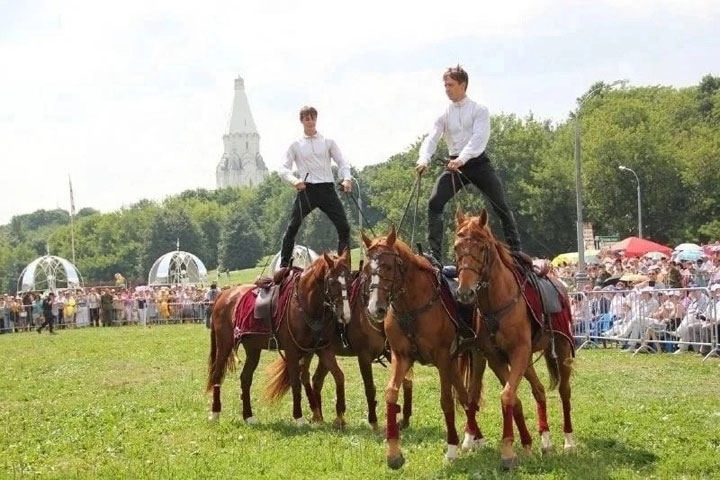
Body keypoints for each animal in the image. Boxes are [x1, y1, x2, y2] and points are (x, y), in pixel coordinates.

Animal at [205, 249, 352, 426]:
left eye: (350, 277)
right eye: (331, 280)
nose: (345, 315)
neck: (305, 303)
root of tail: (223, 295)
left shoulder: (321, 349)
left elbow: (338, 375)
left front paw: (338, 415)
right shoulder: (291, 350)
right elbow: (296, 381)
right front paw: (299, 417)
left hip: (253, 350)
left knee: (245, 378)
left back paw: (248, 416)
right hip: (224, 345)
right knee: (217, 375)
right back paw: (215, 413)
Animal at [306, 270, 414, 432]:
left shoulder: (393, 354)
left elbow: (406, 382)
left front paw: (405, 420)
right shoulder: (364, 356)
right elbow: (370, 387)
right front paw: (373, 422)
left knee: (317, 380)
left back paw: (319, 417)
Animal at [360, 228, 484, 468]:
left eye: (388, 266)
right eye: (366, 269)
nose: (375, 308)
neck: (412, 305)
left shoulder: (443, 358)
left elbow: (446, 401)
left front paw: (451, 450)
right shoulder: (401, 357)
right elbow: (391, 394)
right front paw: (394, 454)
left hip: (476, 356)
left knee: (470, 394)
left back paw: (471, 438)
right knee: (464, 394)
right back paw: (474, 437)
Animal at [452, 208, 576, 466]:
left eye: (482, 247)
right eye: (457, 247)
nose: (465, 292)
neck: (498, 302)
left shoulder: (518, 352)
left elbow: (508, 395)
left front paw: (508, 450)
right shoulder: (495, 357)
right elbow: (512, 397)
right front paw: (522, 445)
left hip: (561, 347)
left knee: (564, 390)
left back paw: (569, 441)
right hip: (525, 360)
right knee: (538, 390)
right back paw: (545, 440)